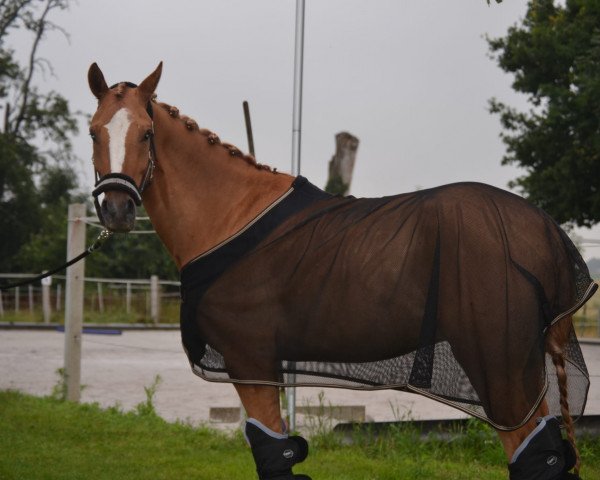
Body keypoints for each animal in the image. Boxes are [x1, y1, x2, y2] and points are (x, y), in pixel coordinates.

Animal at [88, 63, 596, 480]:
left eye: (147, 133)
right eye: (93, 132)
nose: (116, 209)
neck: (230, 217)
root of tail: (549, 234)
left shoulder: (250, 361)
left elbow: (271, 454)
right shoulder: (264, 368)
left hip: (499, 369)